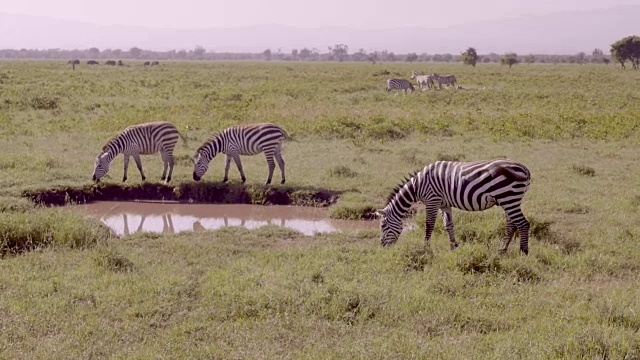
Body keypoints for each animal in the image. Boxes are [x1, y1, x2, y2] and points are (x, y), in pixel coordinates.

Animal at [378, 159, 532, 255]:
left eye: (383, 226)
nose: (382, 247)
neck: (418, 185)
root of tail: (524, 169)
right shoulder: (444, 204)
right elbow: (448, 225)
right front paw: (453, 246)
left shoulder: (432, 200)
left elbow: (429, 225)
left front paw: (425, 248)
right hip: (509, 200)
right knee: (511, 224)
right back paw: (502, 250)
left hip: (508, 198)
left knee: (523, 223)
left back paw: (523, 251)